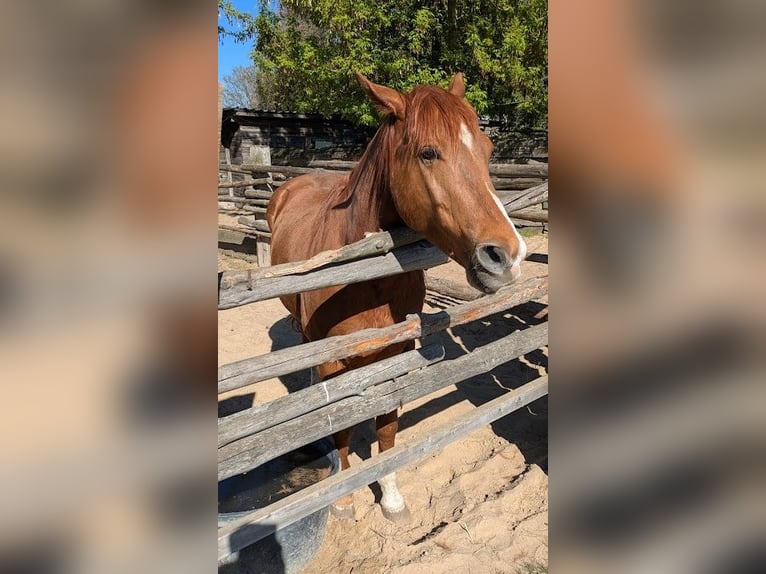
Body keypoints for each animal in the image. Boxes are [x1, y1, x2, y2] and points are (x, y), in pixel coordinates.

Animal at [266, 72, 527, 522]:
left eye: (488, 149)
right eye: (428, 153)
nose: (507, 256)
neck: (365, 282)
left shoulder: (398, 352)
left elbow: (387, 424)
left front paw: (390, 497)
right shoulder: (335, 362)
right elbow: (342, 426)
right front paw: (344, 499)